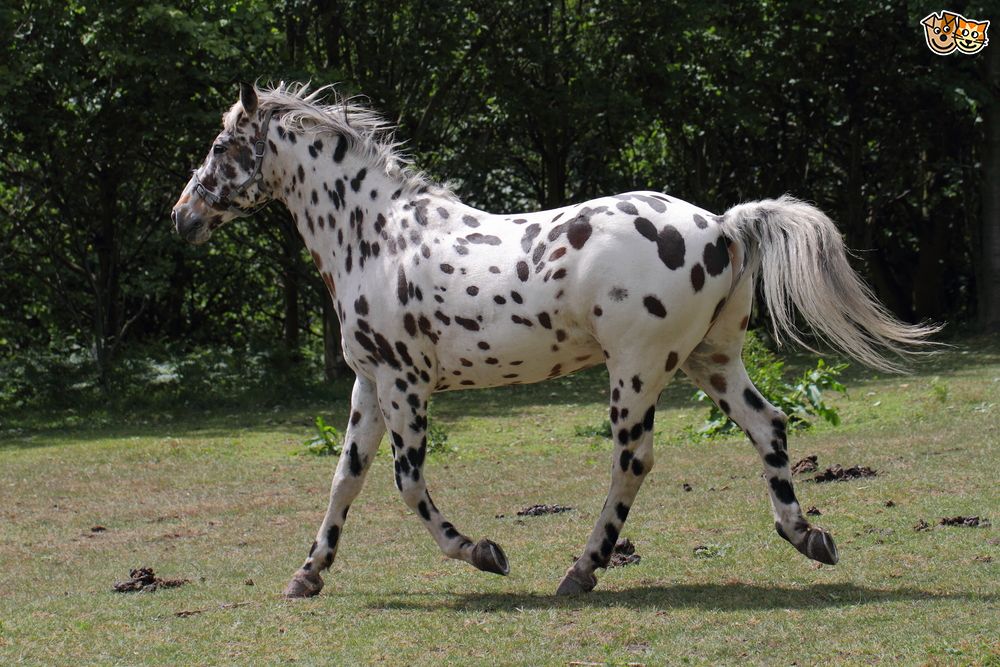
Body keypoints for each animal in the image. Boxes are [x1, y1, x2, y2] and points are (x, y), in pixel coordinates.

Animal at [171, 83, 935, 597]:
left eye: (219, 147)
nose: (182, 217)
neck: (377, 237)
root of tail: (722, 224)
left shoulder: (406, 385)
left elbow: (406, 483)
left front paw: (483, 552)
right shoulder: (369, 382)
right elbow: (344, 479)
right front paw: (308, 573)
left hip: (637, 371)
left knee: (633, 461)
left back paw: (581, 569)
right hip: (709, 361)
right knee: (769, 426)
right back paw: (807, 536)